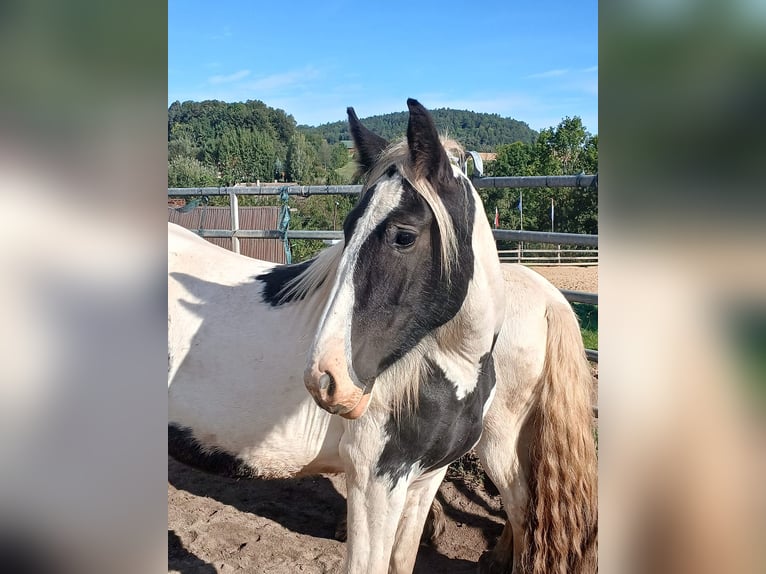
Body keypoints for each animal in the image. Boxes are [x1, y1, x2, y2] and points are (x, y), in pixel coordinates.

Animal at [170, 100, 600, 574]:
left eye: (404, 236)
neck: (445, 368)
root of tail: (550, 299)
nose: (325, 378)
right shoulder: (375, 482)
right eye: (347, 229)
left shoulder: (425, 477)